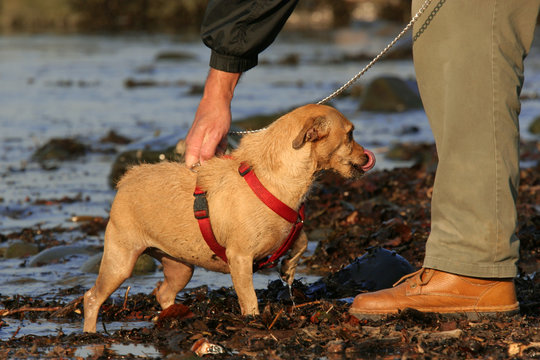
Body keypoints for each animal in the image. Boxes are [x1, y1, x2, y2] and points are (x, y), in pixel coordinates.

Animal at [83, 103, 376, 332]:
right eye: (350, 135)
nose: (366, 156)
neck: (273, 177)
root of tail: (126, 180)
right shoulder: (240, 259)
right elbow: (249, 300)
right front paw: (253, 321)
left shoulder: (293, 230)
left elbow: (301, 243)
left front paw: (288, 269)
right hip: (120, 263)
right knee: (92, 297)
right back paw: (90, 334)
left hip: (181, 268)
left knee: (163, 292)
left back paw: (176, 317)